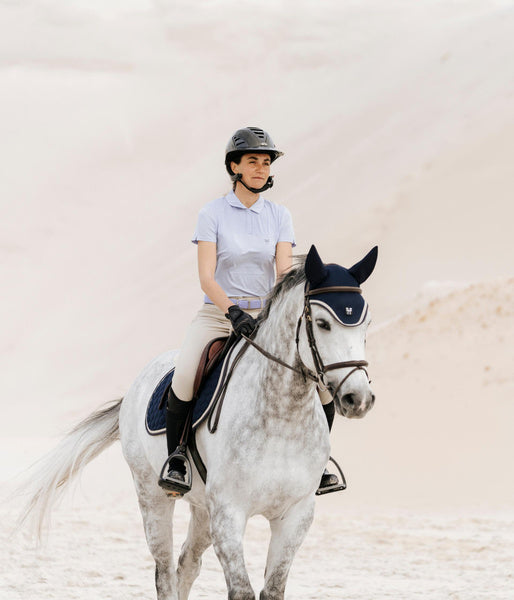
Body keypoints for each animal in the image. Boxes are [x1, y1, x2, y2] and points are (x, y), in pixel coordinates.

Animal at [19, 245, 376, 600]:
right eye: (323, 323)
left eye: (366, 324)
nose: (358, 399)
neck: (281, 419)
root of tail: (138, 382)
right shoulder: (229, 514)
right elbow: (242, 591)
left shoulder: (296, 515)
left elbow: (272, 589)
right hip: (152, 494)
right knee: (164, 571)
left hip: (204, 508)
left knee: (186, 564)